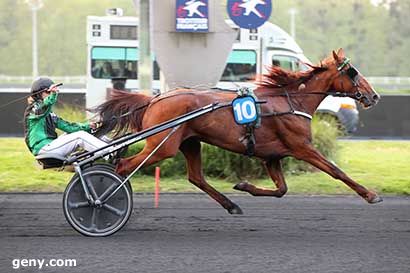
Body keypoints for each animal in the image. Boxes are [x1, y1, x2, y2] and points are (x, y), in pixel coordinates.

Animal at [94, 49, 382, 215]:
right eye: (353, 72)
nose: (374, 96)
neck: (290, 101)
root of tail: (154, 99)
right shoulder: (302, 148)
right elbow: (336, 171)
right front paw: (370, 195)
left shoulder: (271, 157)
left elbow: (281, 189)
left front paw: (244, 186)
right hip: (162, 146)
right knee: (124, 165)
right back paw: (107, 200)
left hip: (190, 142)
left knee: (196, 177)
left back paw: (231, 205)